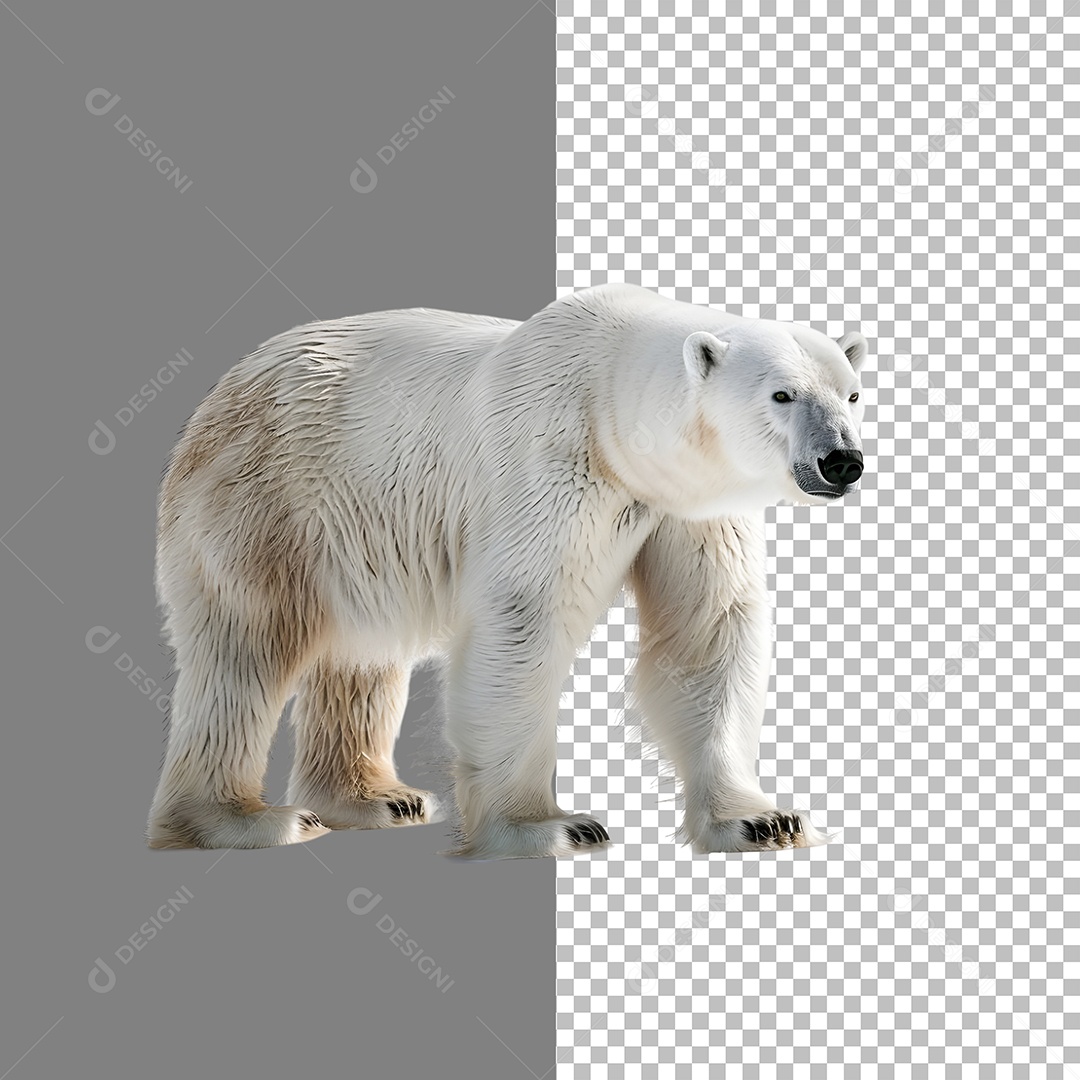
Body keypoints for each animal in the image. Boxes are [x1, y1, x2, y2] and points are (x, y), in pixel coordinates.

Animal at [146, 283, 868, 857]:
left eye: (853, 394)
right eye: (782, 394)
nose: (842, 460)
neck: (610, 402)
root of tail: (223, 388)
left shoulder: (687, 507)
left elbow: (706, 630)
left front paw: (762, 820)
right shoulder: (550, 462)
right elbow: (525, 617)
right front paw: (549, 827)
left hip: (356, 530)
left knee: (362, 651)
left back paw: (380, 799)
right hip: (269, 497)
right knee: (246, 647)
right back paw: (247, 820)